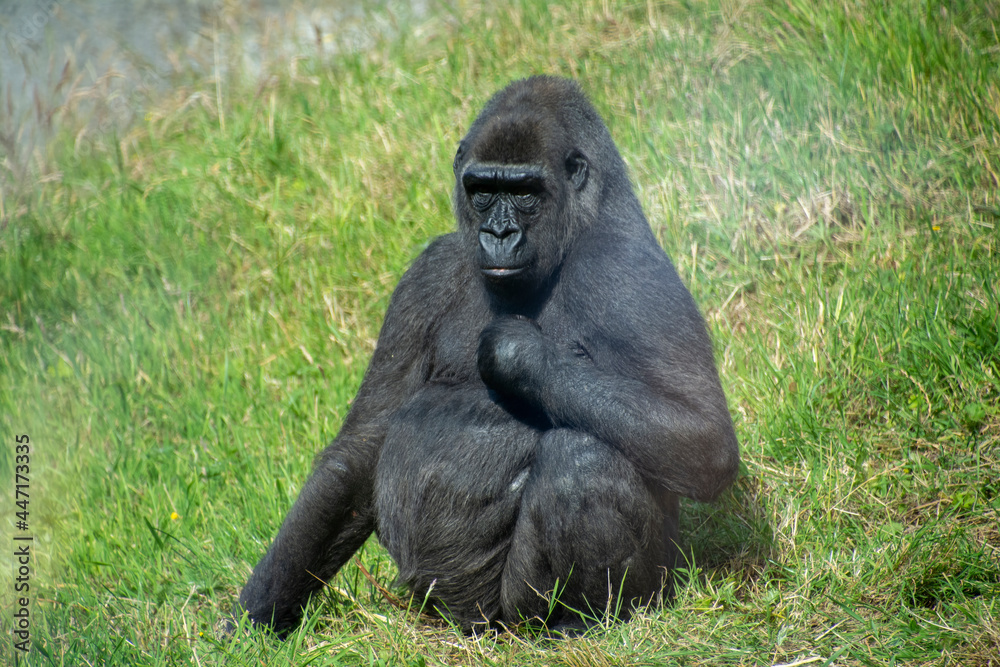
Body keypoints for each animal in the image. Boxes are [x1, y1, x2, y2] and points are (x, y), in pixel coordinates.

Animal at [238, 75, 740, 636]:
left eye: (523, 193)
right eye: (482, 191)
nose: (498, 233)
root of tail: (472, 624)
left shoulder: (628, 272)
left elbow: (702, 437)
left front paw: (519, 354)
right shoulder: (426, 274)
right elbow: (359, 450)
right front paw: (257, 614)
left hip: (532, 608)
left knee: (583, 459)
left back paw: (580, 622)